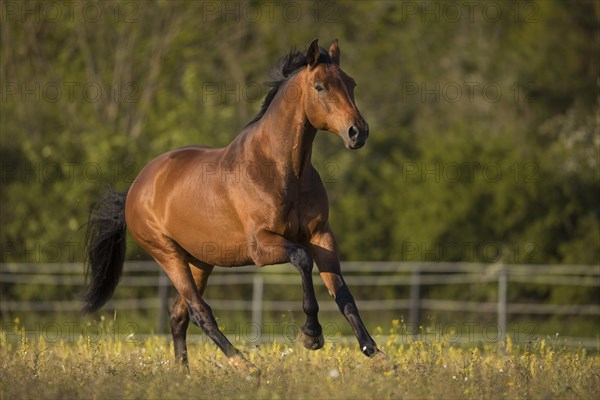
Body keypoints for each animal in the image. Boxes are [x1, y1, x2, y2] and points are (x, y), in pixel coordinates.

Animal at [81, 39, 380, 372]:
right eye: (320, 87)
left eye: (351, 84)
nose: (358, 132)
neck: (281, 170)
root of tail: (136, 188)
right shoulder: (261, 246)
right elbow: (302, 261)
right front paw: (311, 336)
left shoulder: (321, 236)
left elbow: (343, 292)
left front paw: (374, 351)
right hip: (167, 255)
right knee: (199, 312)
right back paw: (245, 366)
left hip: (200, 261)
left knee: (178, 314)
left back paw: (184, 374)